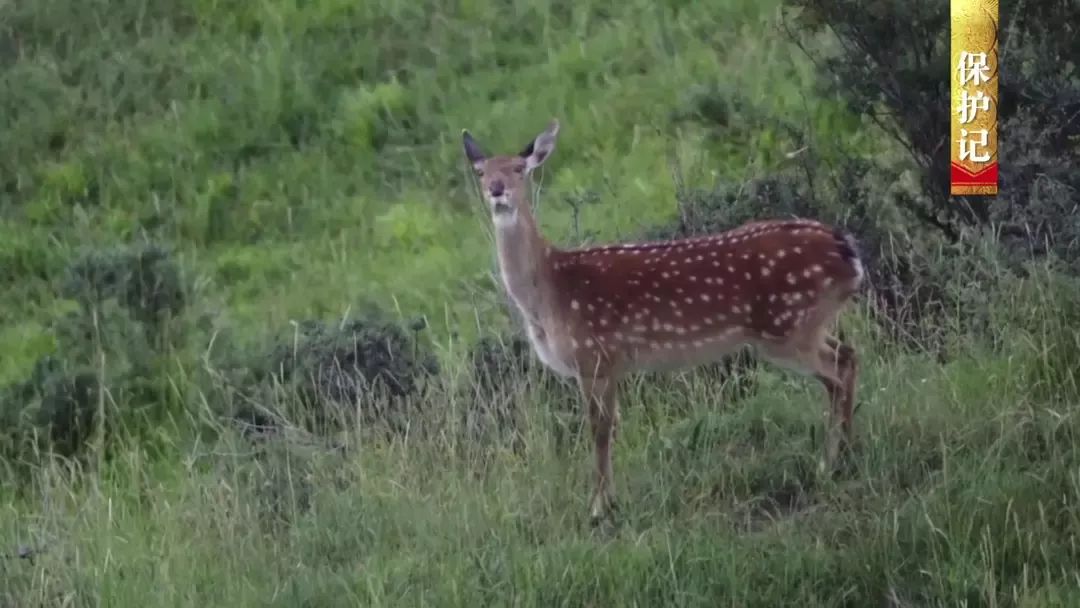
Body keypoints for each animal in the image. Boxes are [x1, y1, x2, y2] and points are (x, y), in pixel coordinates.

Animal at [460, 120, 864, 529]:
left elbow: (598, 431)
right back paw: (838, 457)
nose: (497, 190)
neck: (549, 294)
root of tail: (848, 252)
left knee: (841, 363)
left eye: (518, 169)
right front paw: (609, 502)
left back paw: (836, 460)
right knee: (843, 362)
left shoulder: (594, 356)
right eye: (480, 172)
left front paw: (598, 508)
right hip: (801, 325)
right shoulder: (612, 366)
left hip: (786, 326)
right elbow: (610, 427)